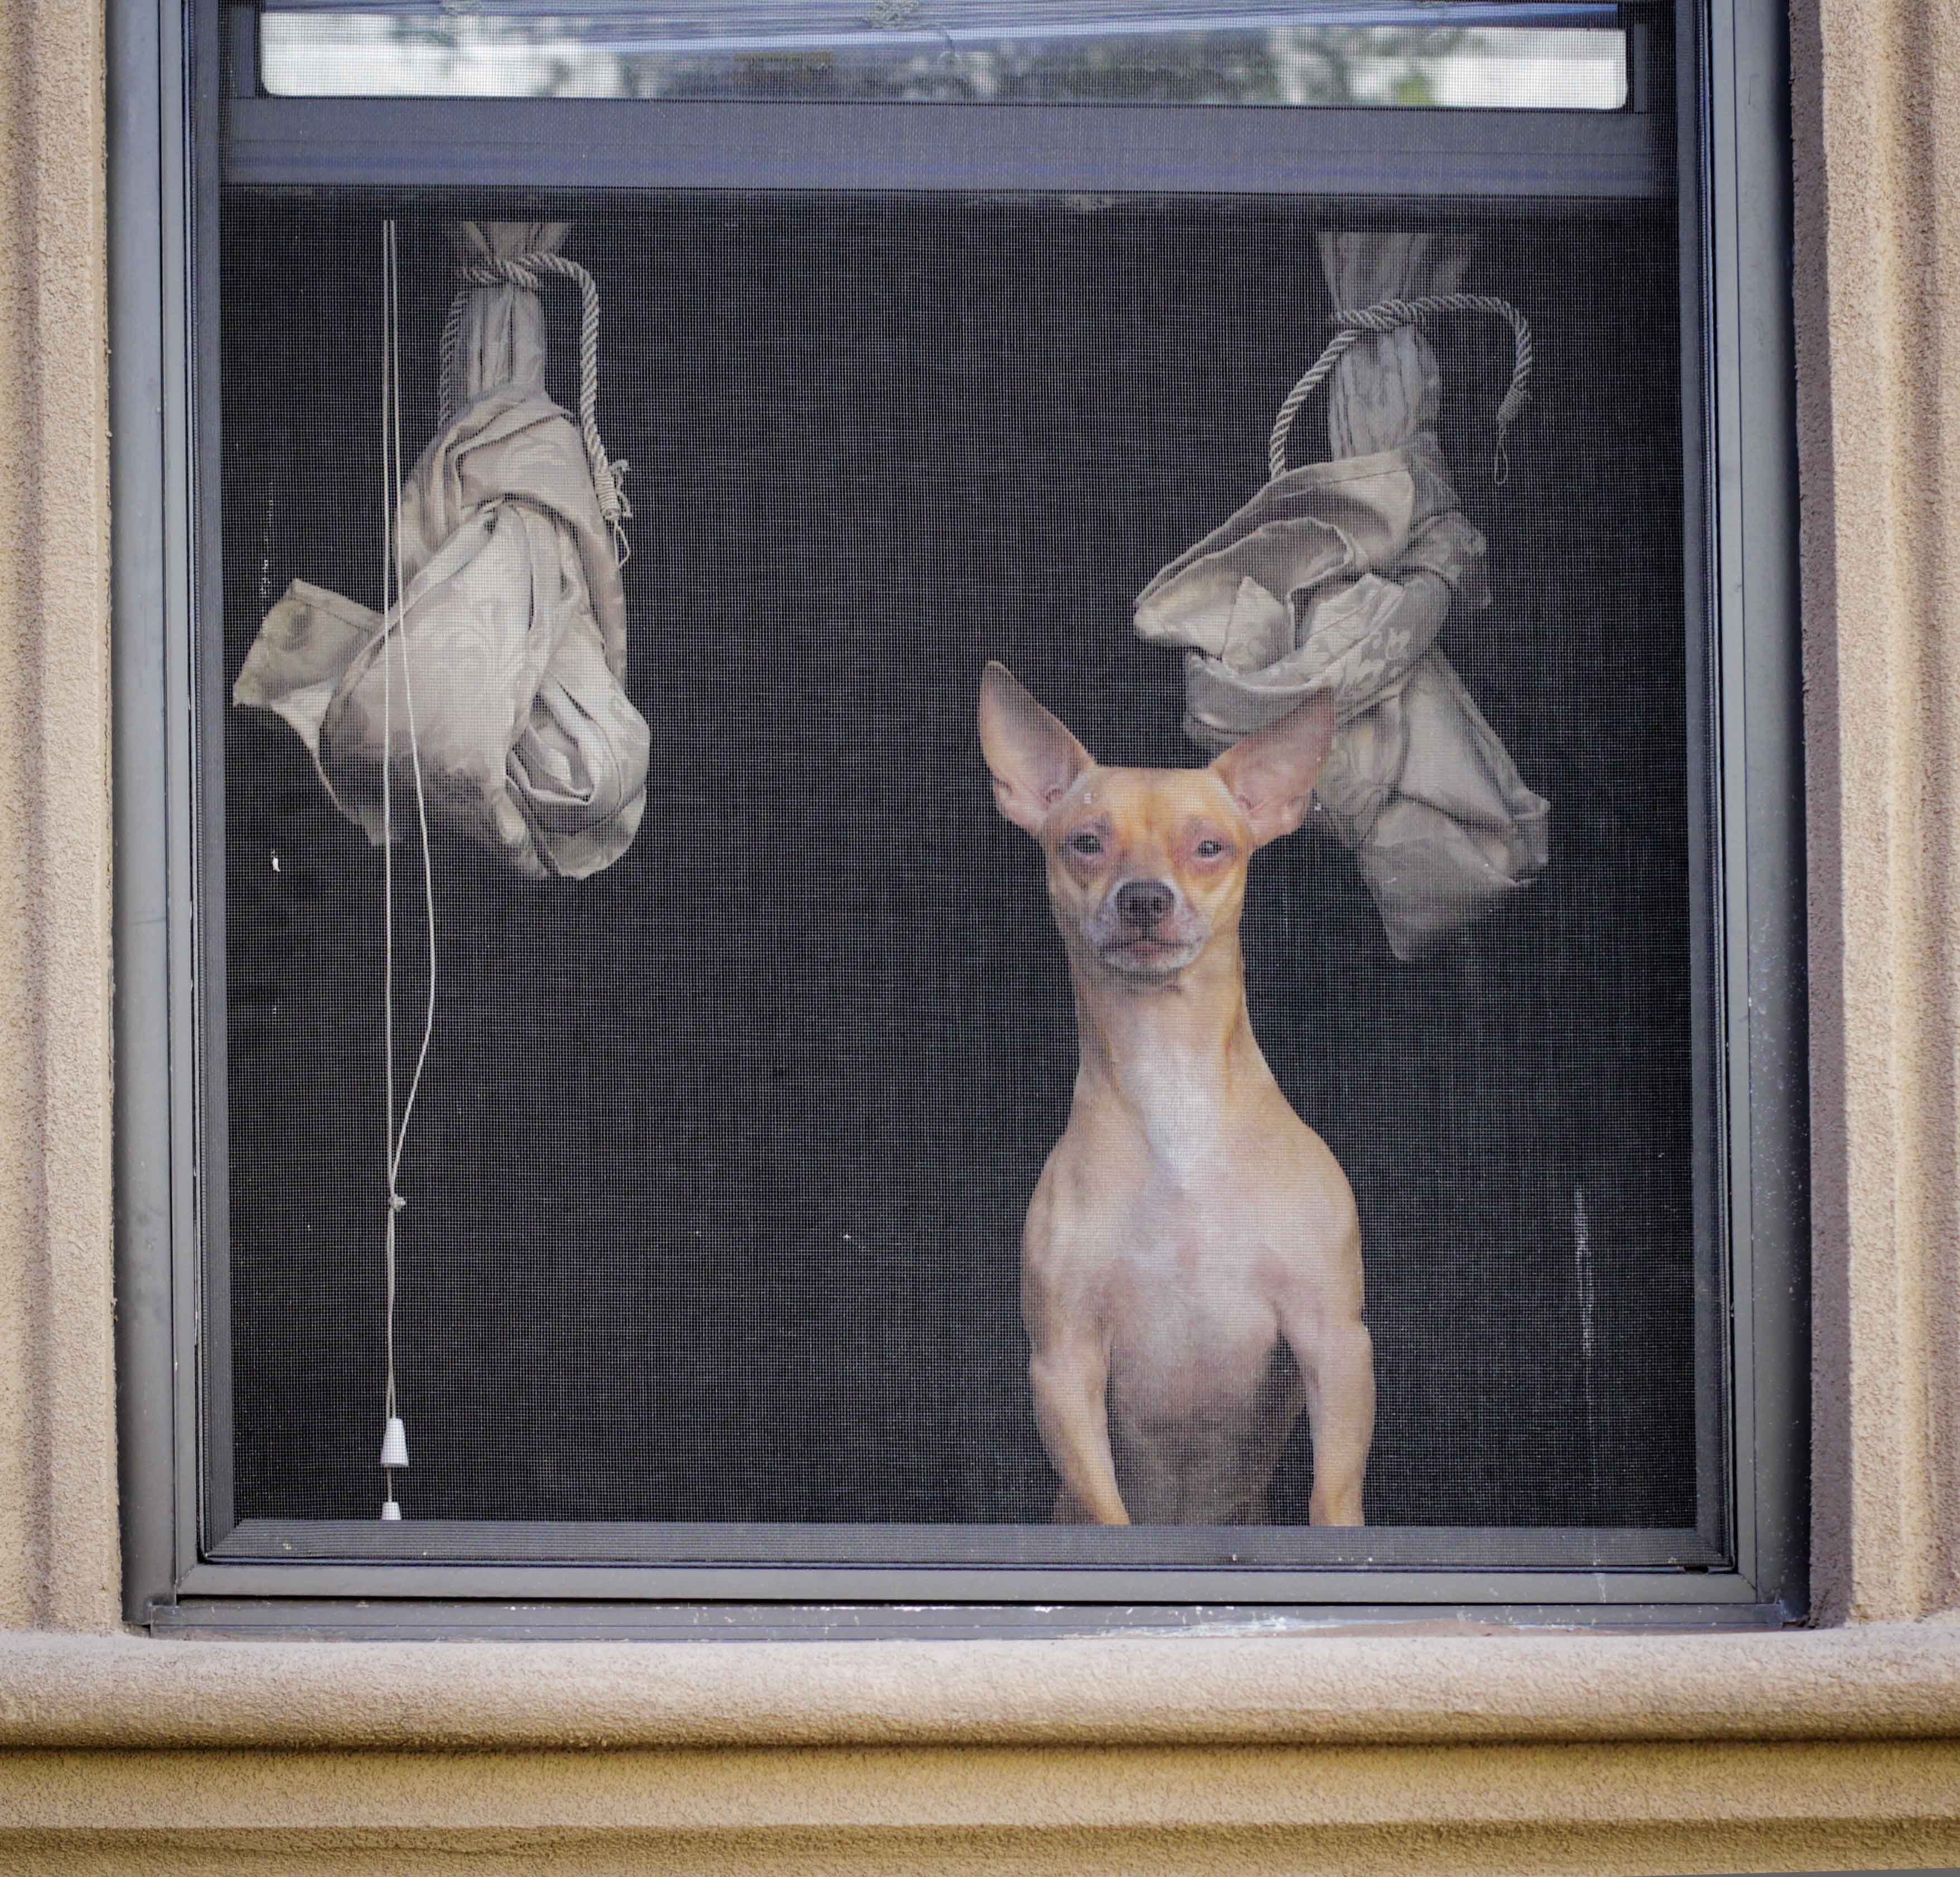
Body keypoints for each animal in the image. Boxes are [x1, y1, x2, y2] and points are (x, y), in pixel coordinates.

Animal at [978, 663, 1372, 1526]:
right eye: (1086, 842)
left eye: (1209, 846)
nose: (1143, 898)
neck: (1173, 1095)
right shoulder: (1062, 1366)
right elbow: (1107, 1511)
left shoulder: (1334, 1340)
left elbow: (1333, 1495)